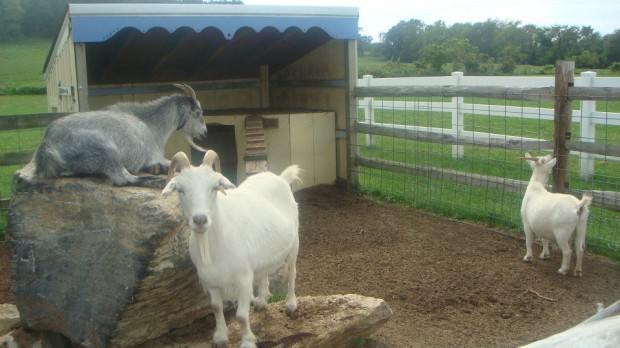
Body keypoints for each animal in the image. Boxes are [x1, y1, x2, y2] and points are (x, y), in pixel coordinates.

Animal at [33, 84, 208, 186]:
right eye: (198, 113)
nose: (205, 132)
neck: (151, 124)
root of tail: (46, 148)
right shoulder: (155, 155)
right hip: (104, 150)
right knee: (123, 179)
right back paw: (157, 181)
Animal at [162, 151, 300, 346]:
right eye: (180, 190)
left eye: (214, 187)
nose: (200, 220)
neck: (214, 247)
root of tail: (280, 178)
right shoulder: (210, 280)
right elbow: (216, 308)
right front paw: (220, 337)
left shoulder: (243, 279)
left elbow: (241, 316)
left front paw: (247, 342)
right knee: (264, 272)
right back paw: (261, 301)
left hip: (294, 243)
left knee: (291, 273)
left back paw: (291, 304)